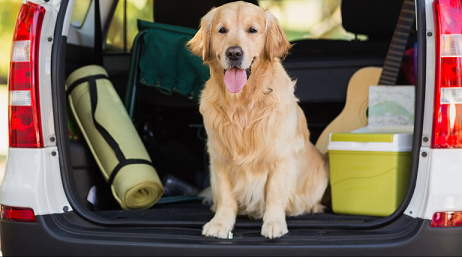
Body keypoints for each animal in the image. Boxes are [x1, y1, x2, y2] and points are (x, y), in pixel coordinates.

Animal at [187, 1, 328, 238]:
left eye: (252, 30)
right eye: (222, 30)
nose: (234, 53)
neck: (243, 103)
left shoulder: (281, 156)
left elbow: (275, 193)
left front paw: (274, 223)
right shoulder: (219, 155)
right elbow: (225, 196)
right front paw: (220, 223)